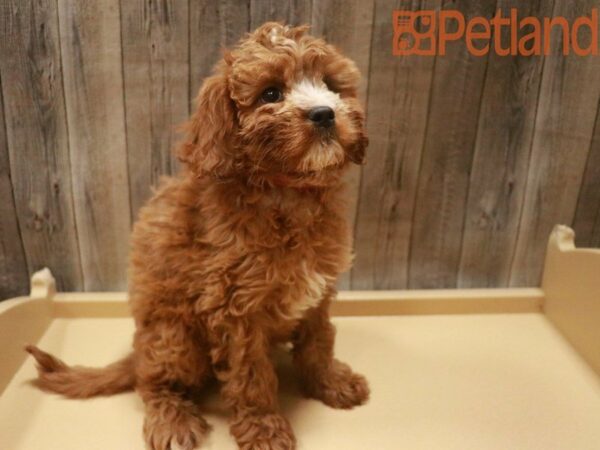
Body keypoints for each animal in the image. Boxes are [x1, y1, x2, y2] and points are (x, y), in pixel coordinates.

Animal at [27, 23, 370, 450]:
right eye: (270, 93)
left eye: (331, 85)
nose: (325, 113)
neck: (289, 194)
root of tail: (137, 354)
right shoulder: (234, 308)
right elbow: (251, 375)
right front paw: (264, 426)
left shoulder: (318, 293)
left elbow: (319, 341)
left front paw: (331, 382)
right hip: (173, 338)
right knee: (153, 383)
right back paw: (172, 419)